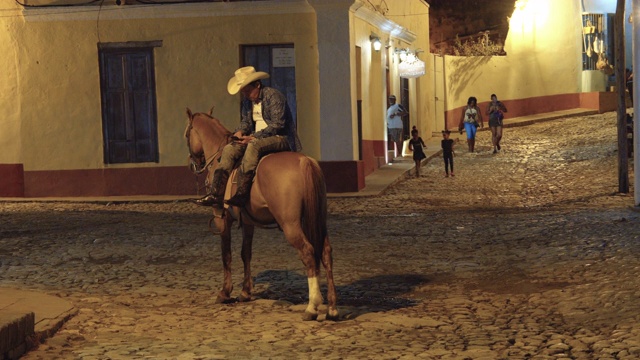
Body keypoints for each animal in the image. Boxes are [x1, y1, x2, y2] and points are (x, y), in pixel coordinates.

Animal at [182, 109, 338, 320]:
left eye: (187, 135)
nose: (193, 164)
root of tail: (304, 162)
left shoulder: (221, 218)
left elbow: (226, 254)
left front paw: (225, 292)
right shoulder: (248, 222)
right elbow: (245, 253)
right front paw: (245, 292)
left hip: (291, 225)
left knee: (307, 252)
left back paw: (312, 306)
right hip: (316, 220)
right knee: (326, 252)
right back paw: (332, 307)